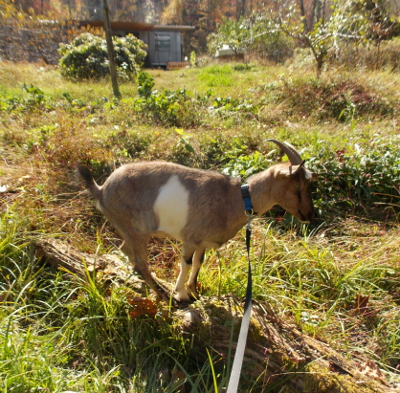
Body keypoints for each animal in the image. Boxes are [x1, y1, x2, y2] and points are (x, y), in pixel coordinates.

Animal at [77, 139, 316, 302]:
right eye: (297, 184)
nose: (310, 215)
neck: (235, 199)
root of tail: (101, 190)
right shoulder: (191, 238)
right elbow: (186, 263)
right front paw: (181, 294)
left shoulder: (203, 241)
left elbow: (199, 263)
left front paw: (195, 291)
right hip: (137, 230)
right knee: (141, 263)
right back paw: (163, 294)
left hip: (128, 229)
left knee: (125, 249)